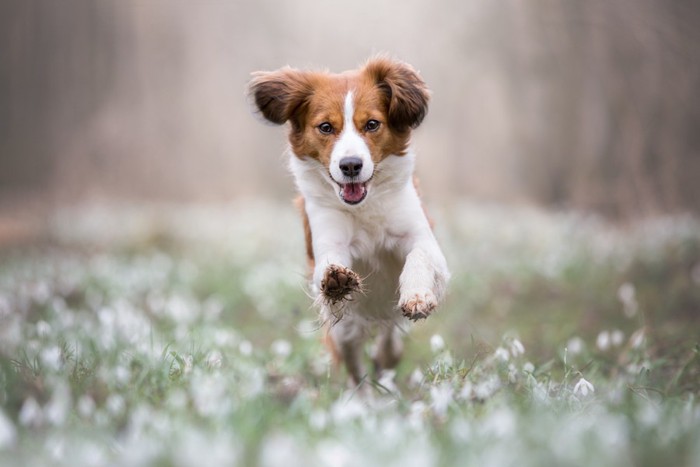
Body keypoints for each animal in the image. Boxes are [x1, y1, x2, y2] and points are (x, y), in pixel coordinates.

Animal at [249, 57, 452, 388]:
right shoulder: (329, 242)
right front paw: (337, 280)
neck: (364, 206)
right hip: (345, 331)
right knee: (358, 371)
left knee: (388, 340)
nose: (351, 165)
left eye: (371, 124)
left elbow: (419, 257)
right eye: (326, 127)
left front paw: (418, 296)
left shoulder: (422, 238)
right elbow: (330, 265)